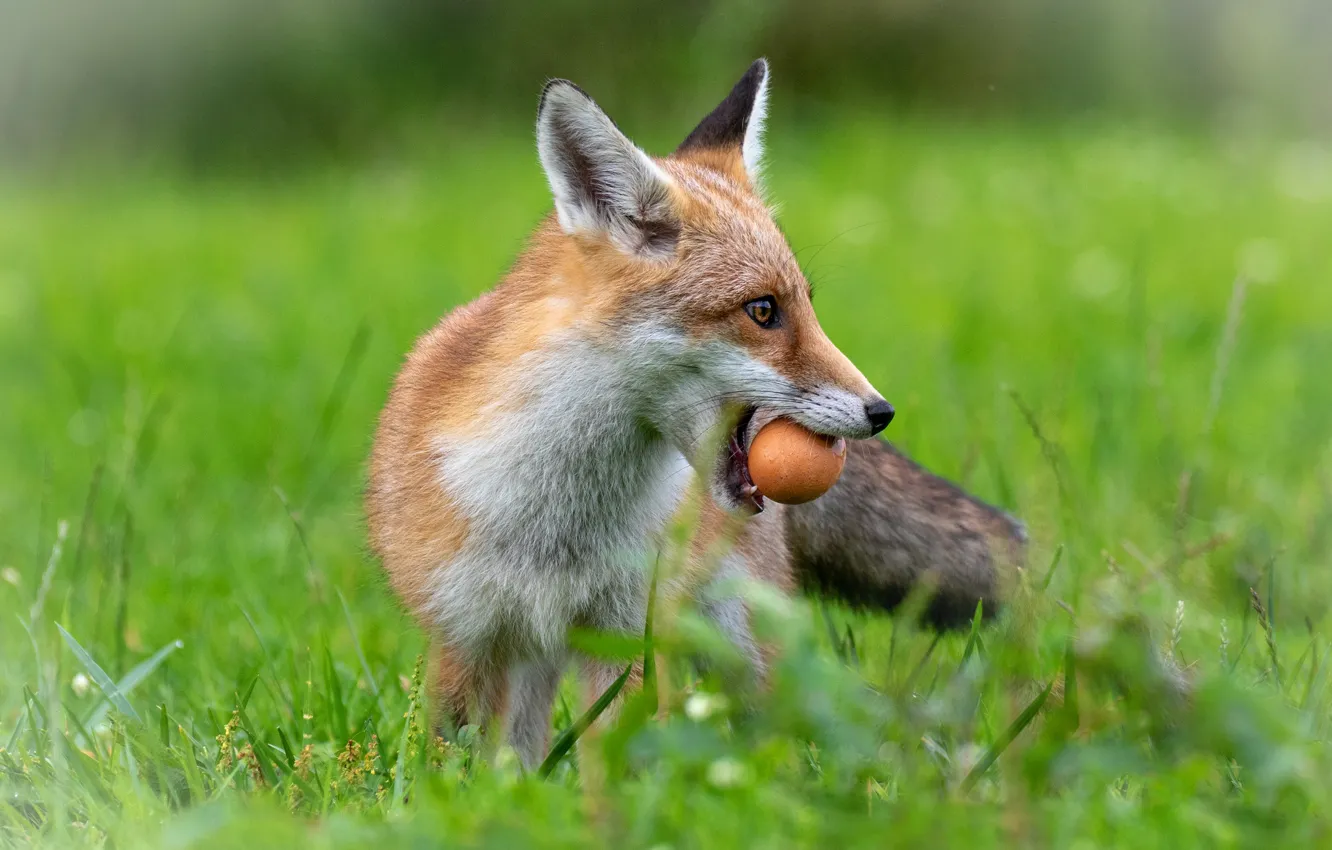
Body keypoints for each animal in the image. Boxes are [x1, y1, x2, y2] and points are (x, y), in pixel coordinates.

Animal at [367, 59, 1025, 769]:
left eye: (807, 304)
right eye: (763, 310)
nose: (882, 412)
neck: (556, 524)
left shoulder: (626, 631)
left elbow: (619, 762)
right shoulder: (465, 636)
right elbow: (459, 768)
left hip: (744, 642)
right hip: (538, 653)